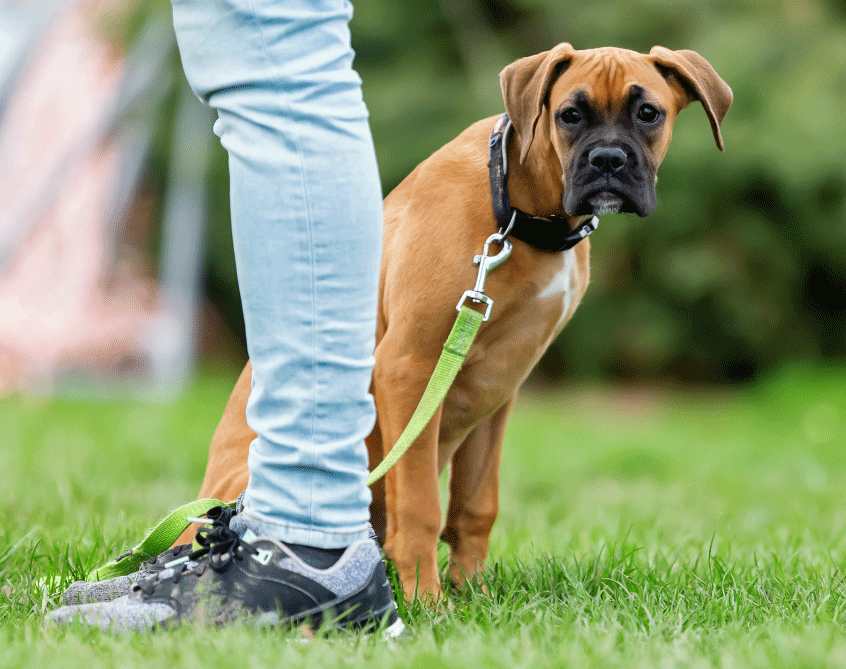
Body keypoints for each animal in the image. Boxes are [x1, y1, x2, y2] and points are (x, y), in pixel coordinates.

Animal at [181, 45, 736, 600]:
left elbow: (475, 504)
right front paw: (428, 601)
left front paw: (474, 596)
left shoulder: (498, 389)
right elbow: (421, 503)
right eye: (569, 116)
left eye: (649, 114)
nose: (608, 161)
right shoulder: (408, 367)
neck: (516, 208)